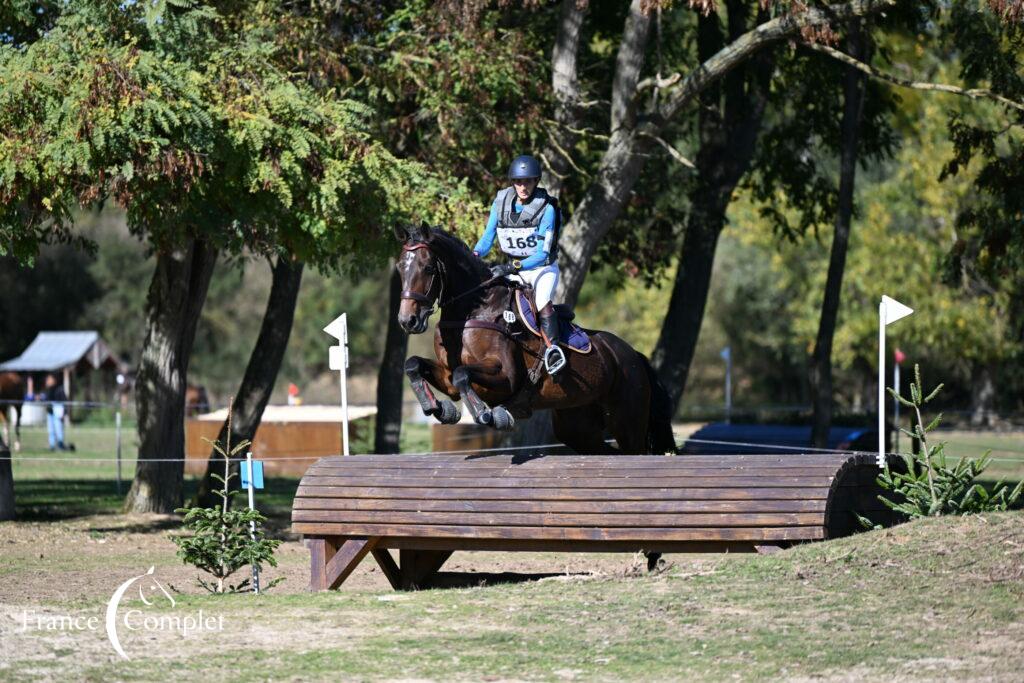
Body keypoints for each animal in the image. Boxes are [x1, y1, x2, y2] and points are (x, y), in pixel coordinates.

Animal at [395, 224, 675, 456]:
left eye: (428, 268)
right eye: (399, 268)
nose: (407, 321)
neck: (475, 311)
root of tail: (632, 355)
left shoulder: (506, 378)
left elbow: (463, 374)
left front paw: (488, 414)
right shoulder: (448, 376)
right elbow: (414, 365)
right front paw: (440, 409)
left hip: (627, 421)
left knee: (635, 450)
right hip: (577, 425)